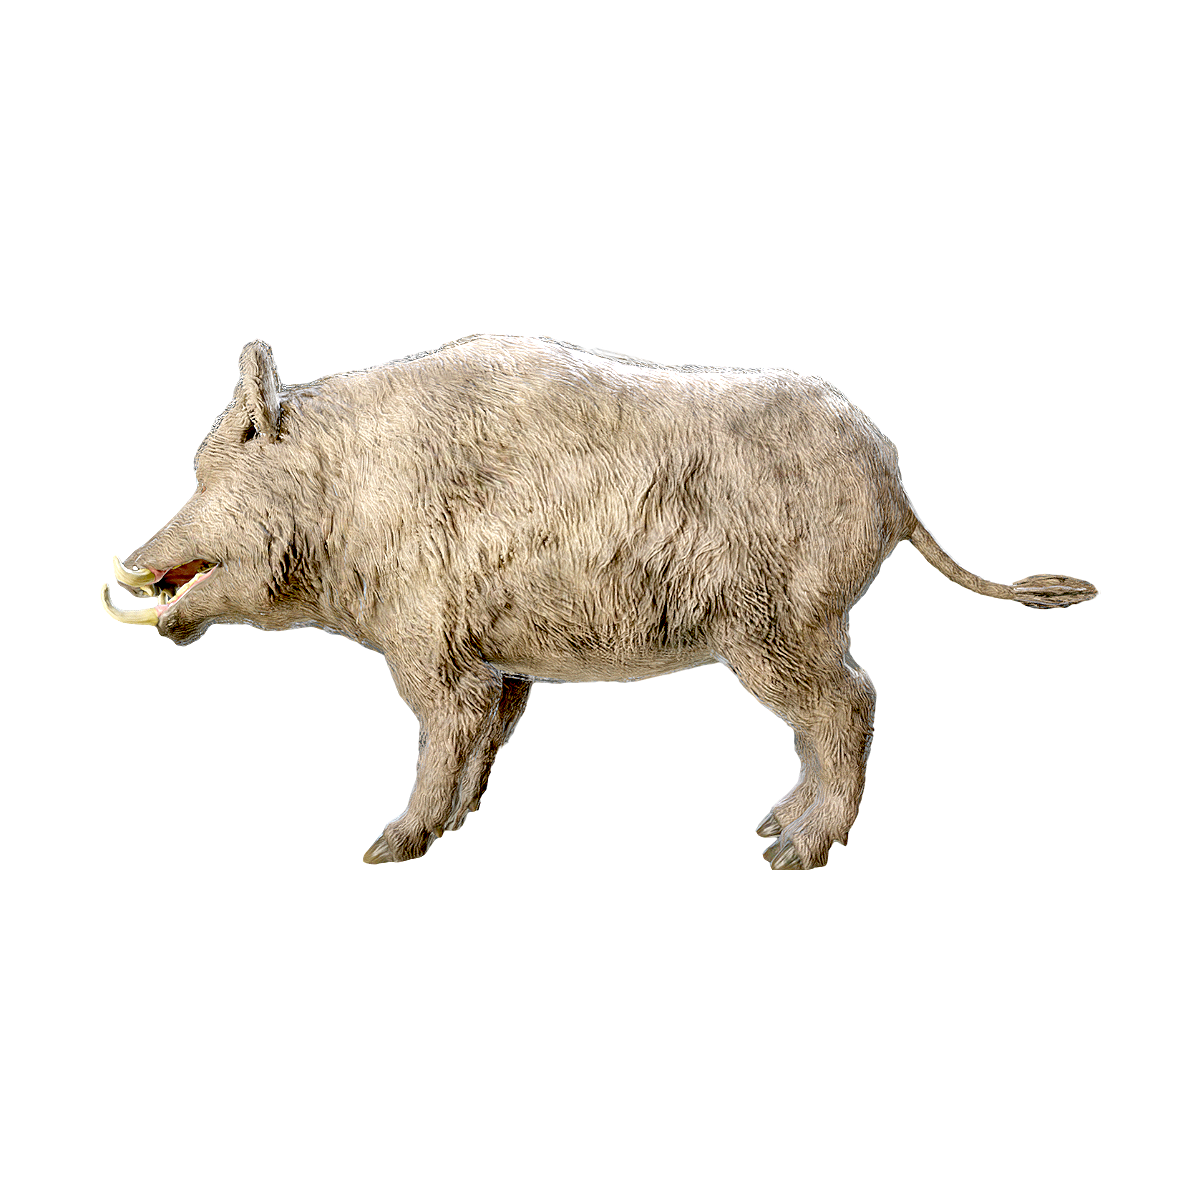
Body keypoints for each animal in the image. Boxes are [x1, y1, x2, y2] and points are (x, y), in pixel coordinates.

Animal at [105, 336, 1099, 869]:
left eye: (214, 467)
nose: (128, 561)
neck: (347, 501)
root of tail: (890, 474)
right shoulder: (496, 656)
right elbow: (485, 728)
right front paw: (454, 827)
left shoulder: (428, 636)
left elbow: (449, 724)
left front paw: (386, 851)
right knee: (837, 710)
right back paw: (772, 826)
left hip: (775, 625)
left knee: (851, 702)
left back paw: (794, 851)